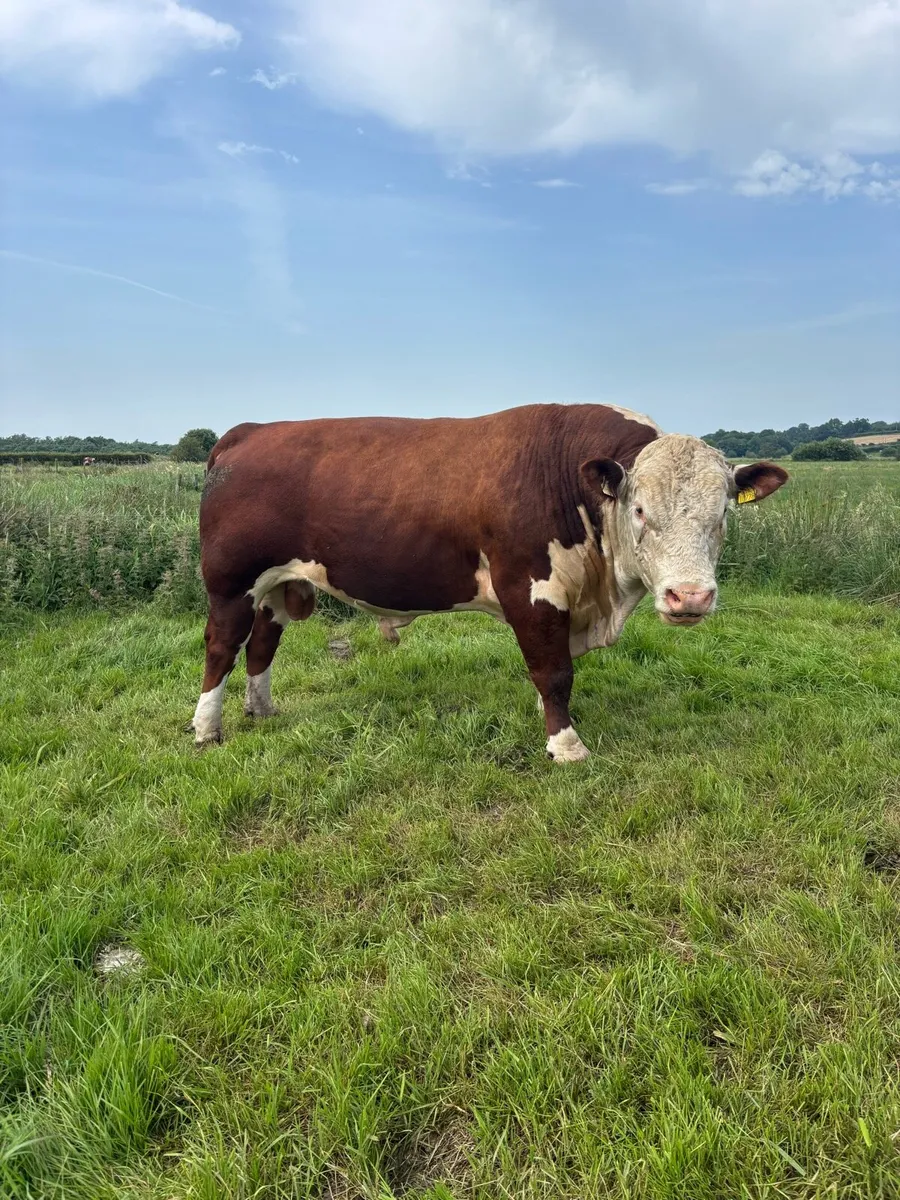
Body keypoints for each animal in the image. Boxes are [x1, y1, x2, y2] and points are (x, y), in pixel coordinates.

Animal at [191, 404, 787, 761]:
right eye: (640, 510)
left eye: (723, 513)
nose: (690, 596)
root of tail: (253, 430)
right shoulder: (531, 589)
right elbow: (553, 672)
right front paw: (565, 745)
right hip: (230, 582)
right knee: (222, 647)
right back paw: (206, 728)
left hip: (276, 585)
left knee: (263, 644)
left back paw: (262, 709)